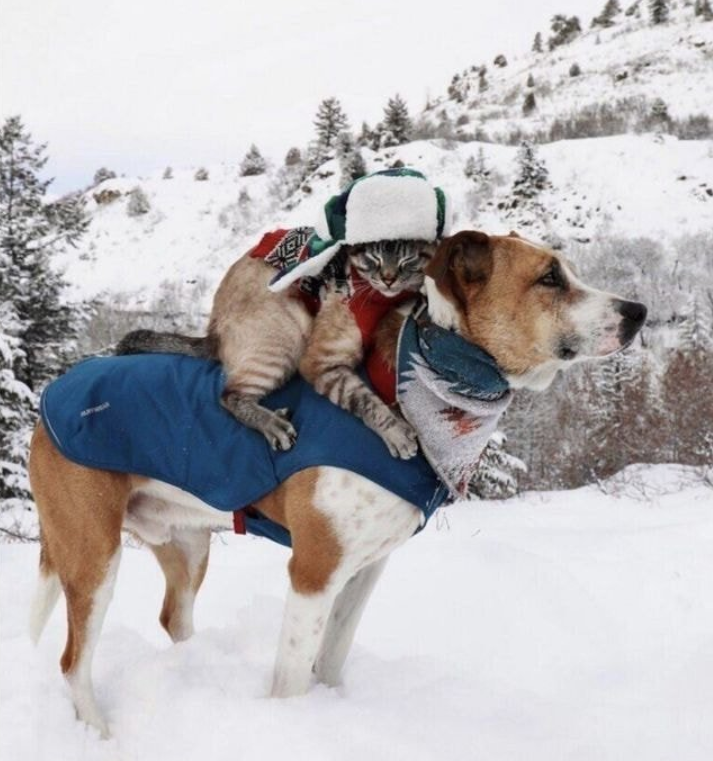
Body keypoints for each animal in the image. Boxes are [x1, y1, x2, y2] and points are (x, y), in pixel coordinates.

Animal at [117, 240, 434, 458]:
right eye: (373, 256)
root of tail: (212, 328)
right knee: (229, 395)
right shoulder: (319, 361)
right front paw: (397, 433)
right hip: (284, 342)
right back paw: (275, 426)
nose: (389, 278)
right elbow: (363, 401)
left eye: (408, 256)